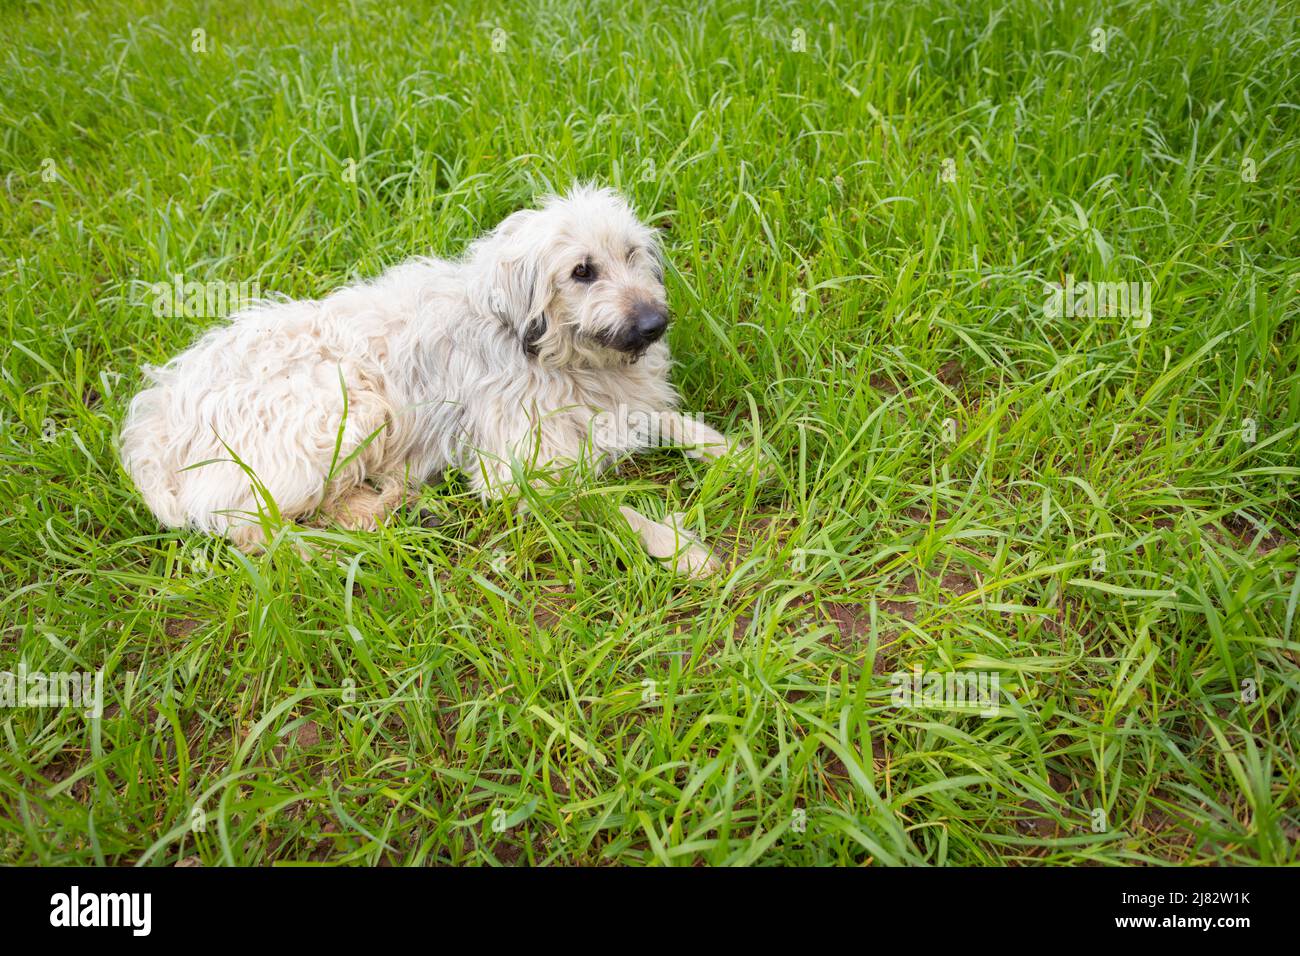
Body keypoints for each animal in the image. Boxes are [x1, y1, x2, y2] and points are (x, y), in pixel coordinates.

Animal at [115, 185, 733, 574]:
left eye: (632, 254)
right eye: (582, 271)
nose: (655, 324)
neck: (560, 356)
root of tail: (157, 415)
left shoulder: (628, 403)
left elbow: (678, 424)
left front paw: (739, 455)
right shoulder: (520, 471)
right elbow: (609, 505)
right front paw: (678, 547)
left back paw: (392, 507)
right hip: (347, 406)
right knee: (252, 529)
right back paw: (339, 545)